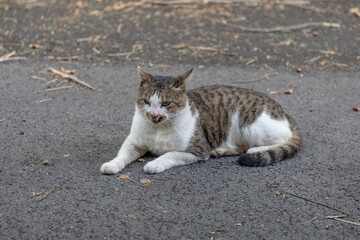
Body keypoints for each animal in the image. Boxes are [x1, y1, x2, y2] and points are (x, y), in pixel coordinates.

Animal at [100, 67, 300, 174]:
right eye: (146, 101)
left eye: (166, 103)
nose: (153, 115)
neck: (158, 129)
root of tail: (283, 111)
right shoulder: (134, 141)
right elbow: (123, 154)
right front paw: (112, 164)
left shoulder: (198, 150)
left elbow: (170, 154)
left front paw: (155, 164)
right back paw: (221, 150)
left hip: (251, 124)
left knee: (279, 141)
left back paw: (256, 150)